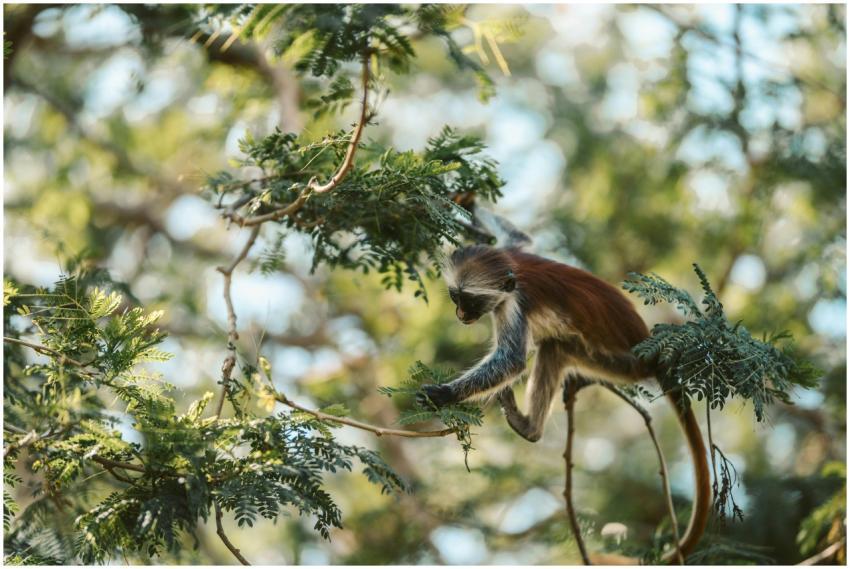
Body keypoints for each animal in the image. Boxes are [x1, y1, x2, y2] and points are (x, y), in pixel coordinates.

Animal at [416, 244, 711, 564]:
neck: (513, 271)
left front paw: (444, 394)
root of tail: (652, 355)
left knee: (553, 346)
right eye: (454, 297)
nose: (460, 314)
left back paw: (529, 428)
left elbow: (512, 361)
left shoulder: (514, 303)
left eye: (469, 300)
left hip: (619, 363)